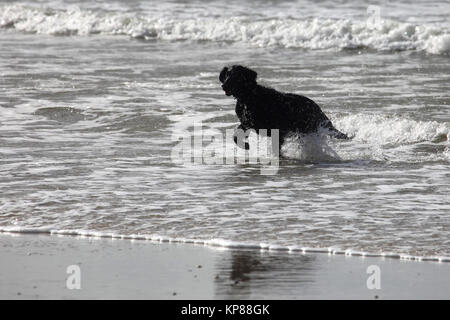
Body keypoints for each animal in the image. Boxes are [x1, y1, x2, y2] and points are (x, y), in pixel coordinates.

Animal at [220, 65, 350, 151]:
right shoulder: (247, 123)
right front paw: (245, 145)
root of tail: (318, 109)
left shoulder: (277, 131)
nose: (224, 86)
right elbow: (236, 135)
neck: (248, 97)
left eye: (237, 76)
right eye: (227, 75)